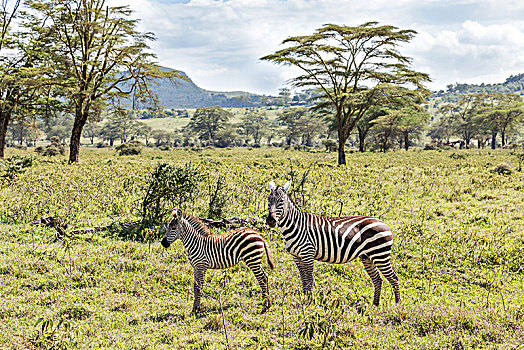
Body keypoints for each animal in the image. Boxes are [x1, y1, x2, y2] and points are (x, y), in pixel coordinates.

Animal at [266, 180, 402, 306]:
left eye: (281, 201)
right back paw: (375, 305)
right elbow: (303, 279)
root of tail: (384, 223)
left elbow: (309, 279)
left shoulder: (307, 253)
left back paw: (397, 305)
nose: (270, 221)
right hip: (367, 257)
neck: (295, 226)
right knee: (378, 279)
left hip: (380, 255)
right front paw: (304, 300)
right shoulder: (297, 257)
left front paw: (309, 303)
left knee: (393, 278)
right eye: (268, 201)